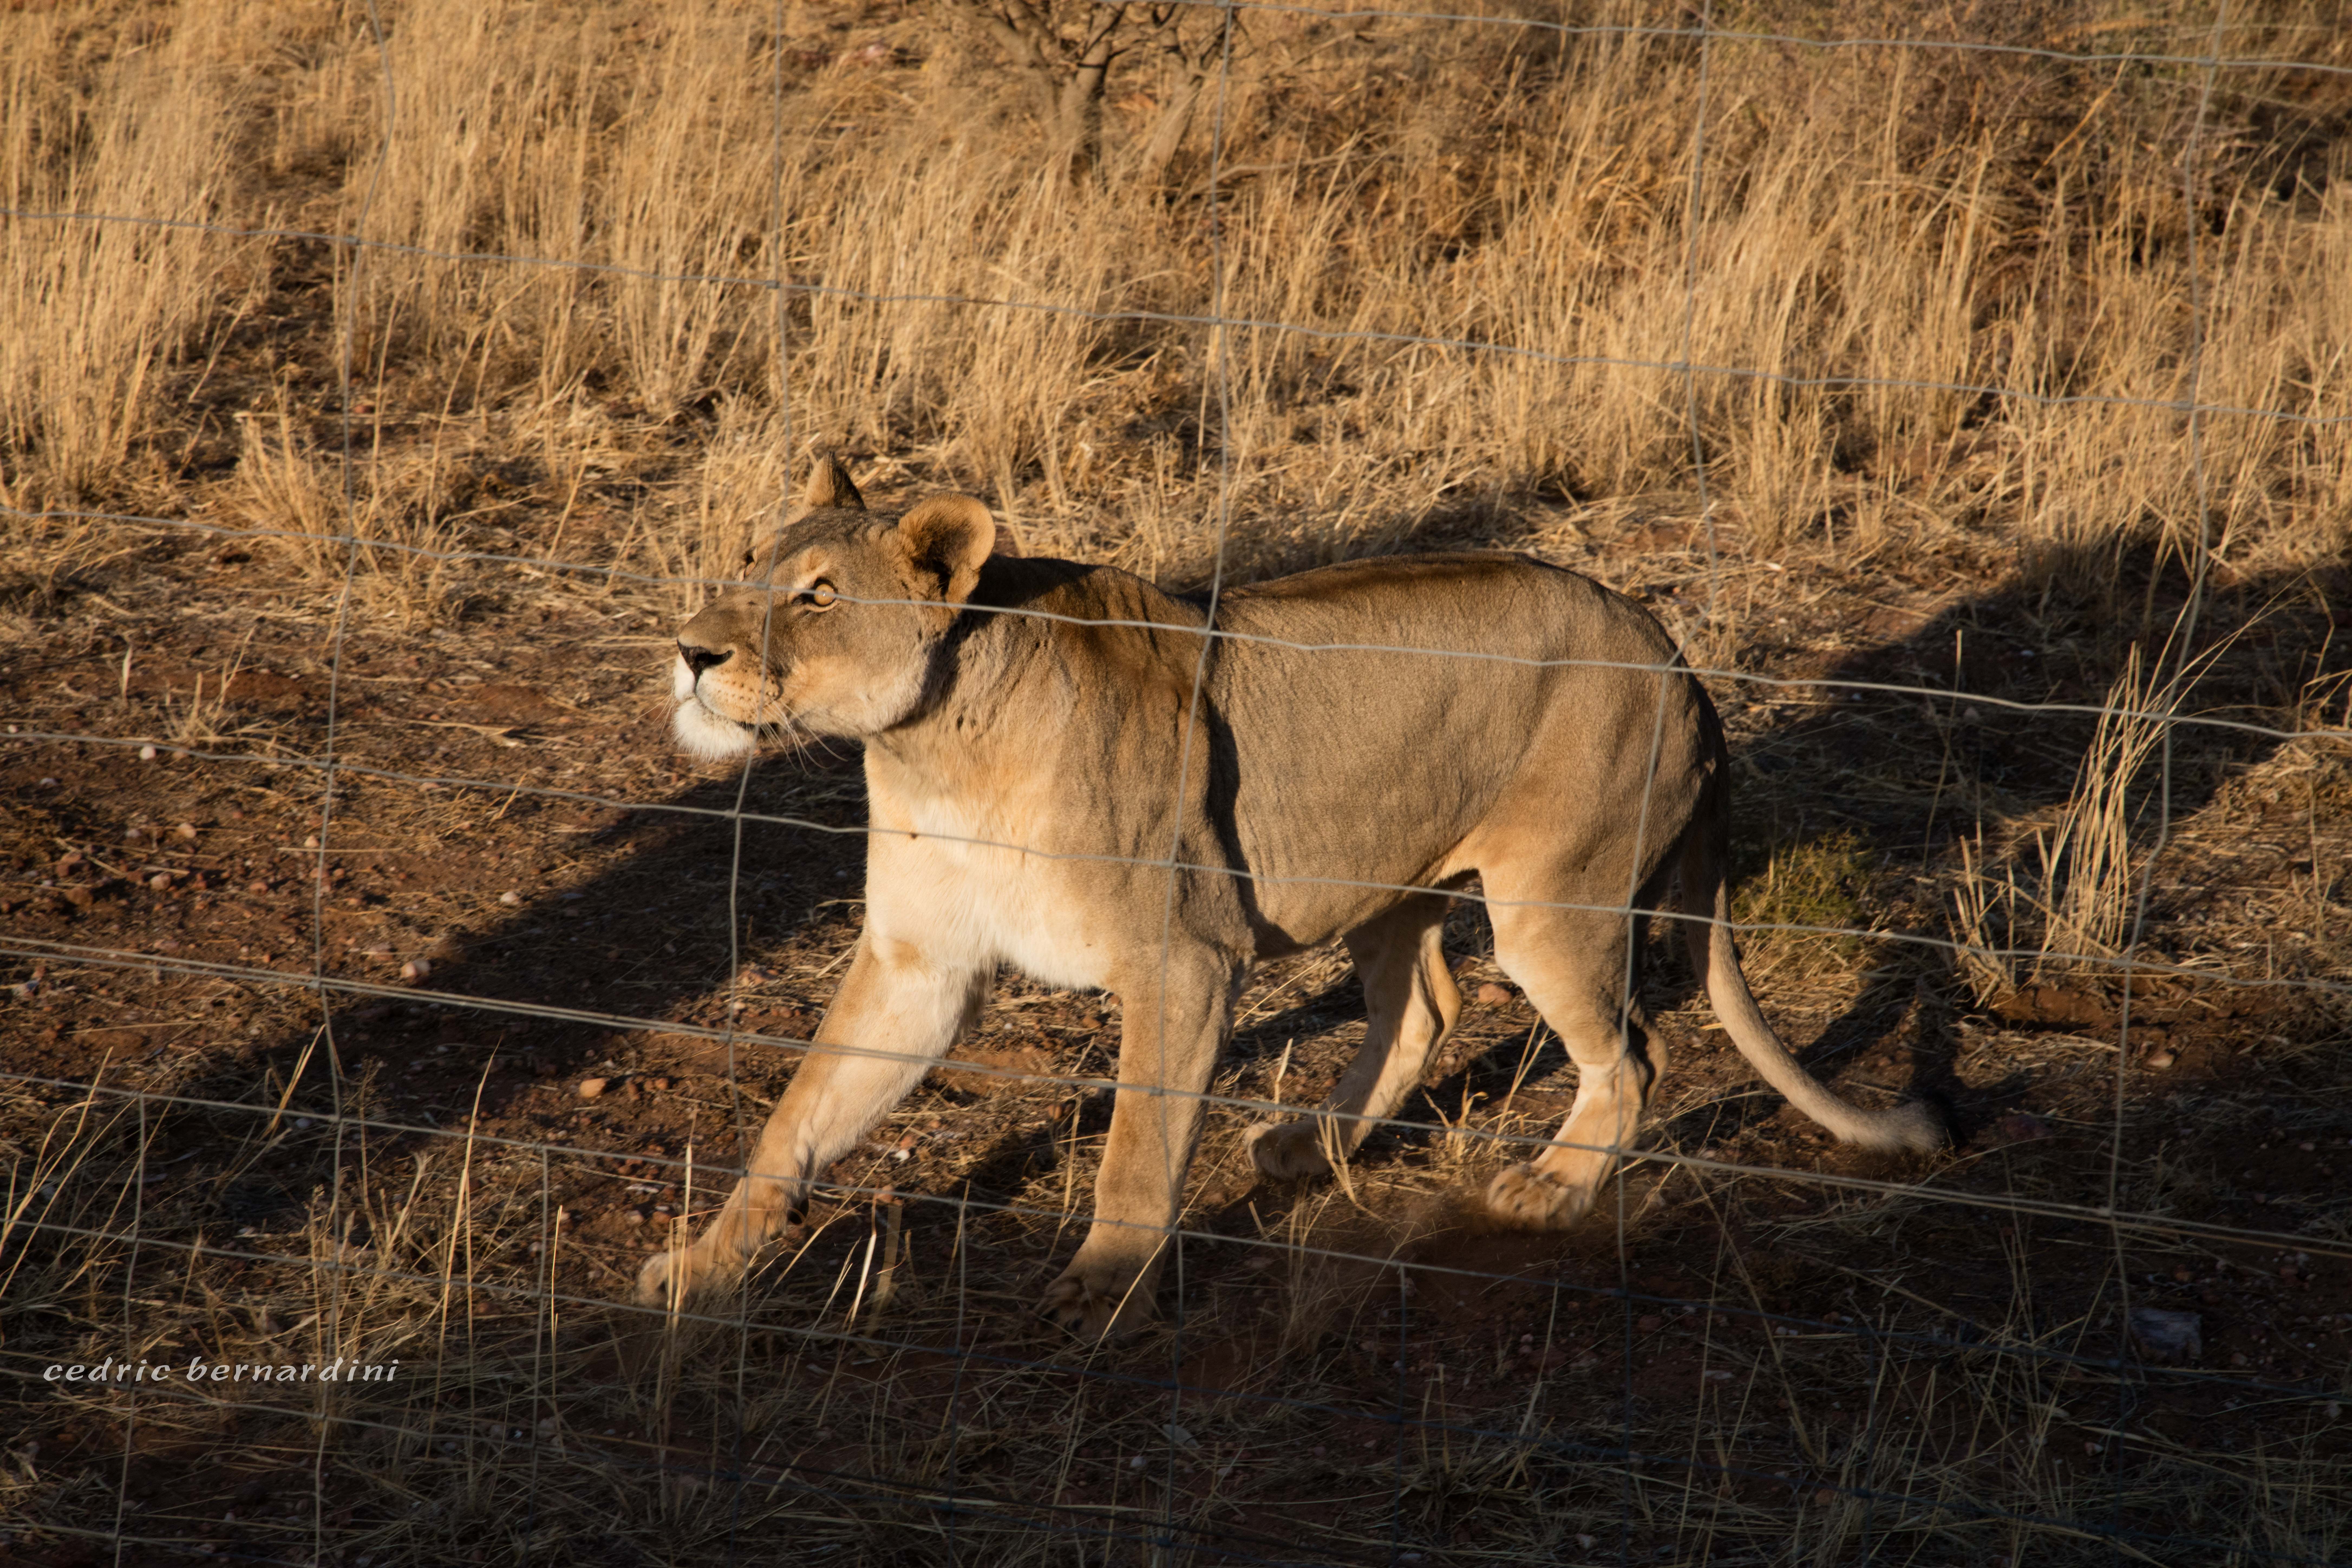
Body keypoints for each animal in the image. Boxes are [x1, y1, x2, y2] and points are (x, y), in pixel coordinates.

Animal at [638, 457, 1944, 1337]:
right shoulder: (918, 965)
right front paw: (705, 1265)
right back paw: (1302, 1145)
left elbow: (1136, 1142)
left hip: (1552, 899)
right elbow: (797, 1117)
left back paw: (1552, 1188)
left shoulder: (1182, 958)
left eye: (816, 596)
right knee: (1425, 1006)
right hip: (1386, 873)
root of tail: (1670, 648)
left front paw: (1101, 1289)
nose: (691, 651)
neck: (931, 747)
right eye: (756, 572)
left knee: (1632, 1051)